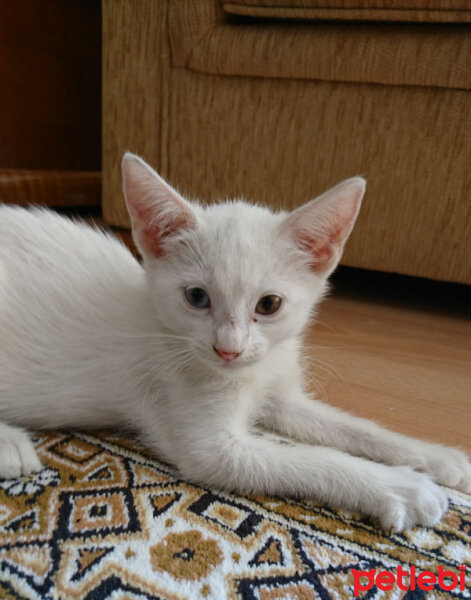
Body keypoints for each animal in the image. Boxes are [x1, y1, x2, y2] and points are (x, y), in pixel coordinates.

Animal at [0, 154, 470, 528]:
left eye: (270, 304)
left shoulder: (281, 393)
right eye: (196, 297)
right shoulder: (210, 446)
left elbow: (355, 428)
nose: (228, 349)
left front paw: (439, 459)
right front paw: (404, 488)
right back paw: (11, 446)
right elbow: (309, 459)